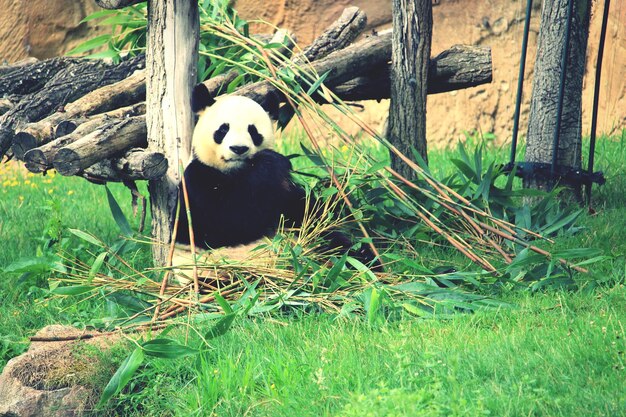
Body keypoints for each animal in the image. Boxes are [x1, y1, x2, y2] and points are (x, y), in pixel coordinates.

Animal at [168, 83, 378, 282]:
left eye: (253, 131)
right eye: (223, 129)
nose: (238, 149)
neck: (237, 173)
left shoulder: (283, 193)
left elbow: (306, 212)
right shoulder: (198, 181)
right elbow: (225, 223)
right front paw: (271, 161)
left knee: (333, 244)